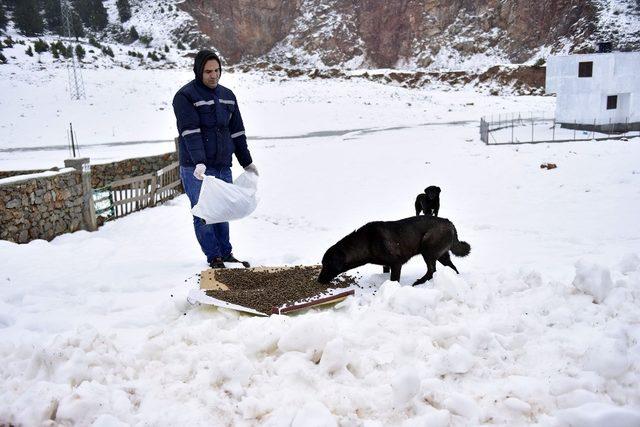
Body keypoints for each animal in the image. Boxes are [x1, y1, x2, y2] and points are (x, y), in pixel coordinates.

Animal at [316, 219, 470, 286]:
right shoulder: (386, 265)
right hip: (442, 255)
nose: (318, 280)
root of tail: (450, 223)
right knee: (452, 268)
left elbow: (394, 279)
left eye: (327, 265)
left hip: (428, 250)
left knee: (431, 270)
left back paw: (419, 282)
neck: (366, 242)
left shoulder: (396, 263)